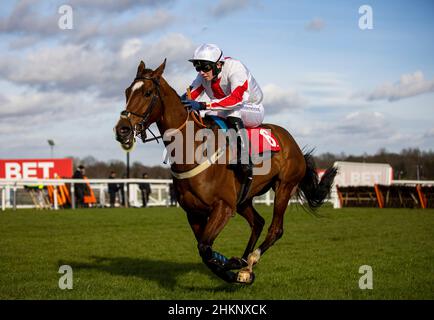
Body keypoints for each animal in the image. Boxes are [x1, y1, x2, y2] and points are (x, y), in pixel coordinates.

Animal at [113, 60, 338, 284]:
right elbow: (205, 250)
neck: (194, 149)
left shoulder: (223, 207)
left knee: (275, 229)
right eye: (126, 92)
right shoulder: (193, 212)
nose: (122, 129)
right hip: (244, 198)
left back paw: (251, 259)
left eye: (148, 93)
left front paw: (231, 266)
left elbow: (205, 248)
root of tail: (292, 142)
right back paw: (246, 264)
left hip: (284, 186)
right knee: (258, 223)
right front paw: (231, 266)